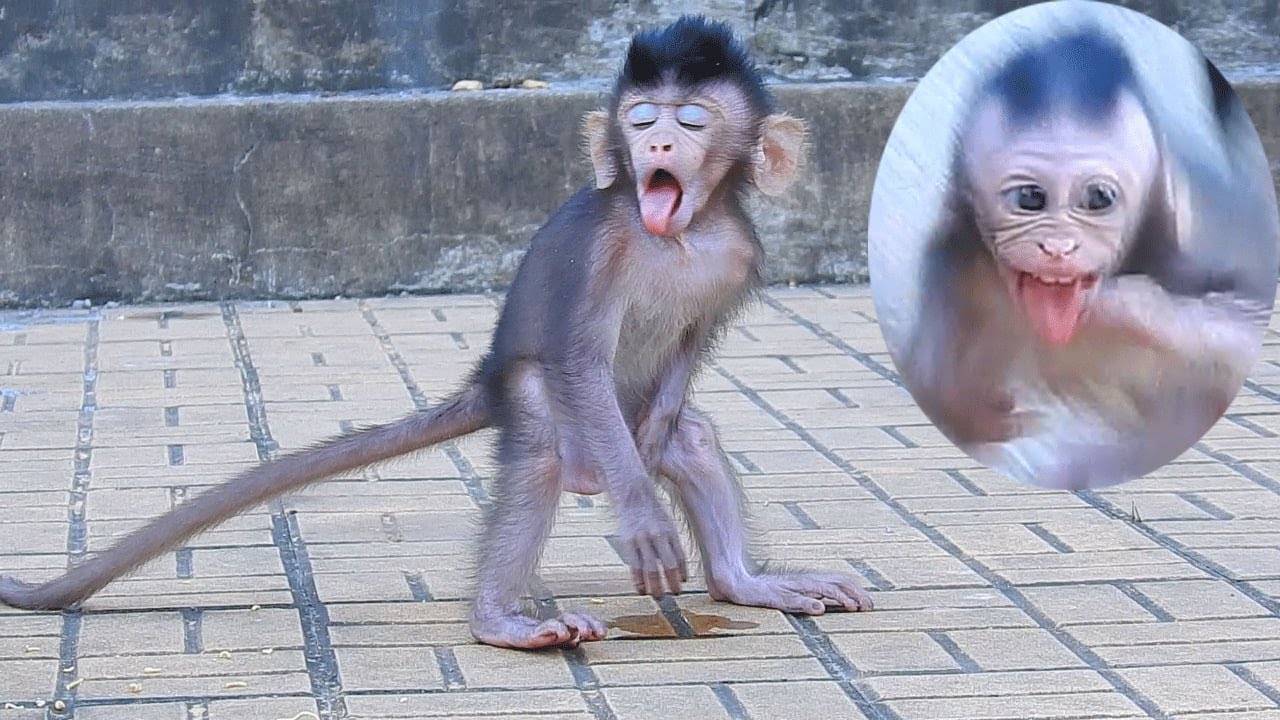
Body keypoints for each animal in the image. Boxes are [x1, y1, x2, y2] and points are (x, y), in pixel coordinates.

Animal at [0, 16, 872, 650]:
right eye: (641, 119)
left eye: (690, 120)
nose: (656, 144)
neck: (681, 234)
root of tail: (482, 379)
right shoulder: (603, 250)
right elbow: (579, 360)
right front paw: (644, 515)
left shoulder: (742, 254)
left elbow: (690, 353)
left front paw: (661, 437)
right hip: (543, 403)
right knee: (547, 437)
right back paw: (501, 621)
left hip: (620, 419)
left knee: (689, 438)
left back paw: (742, 580)